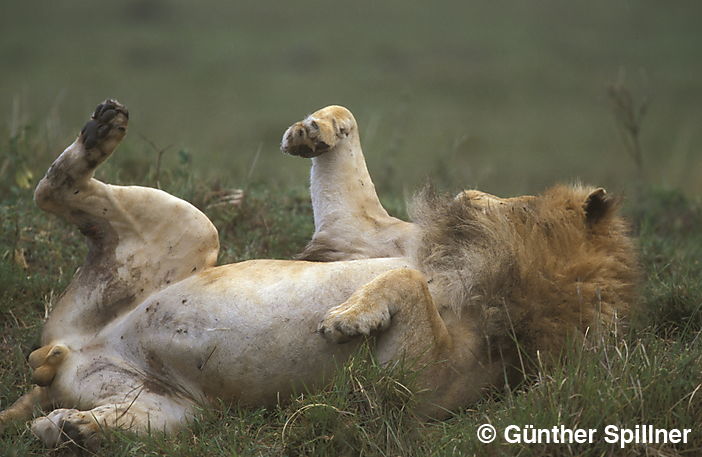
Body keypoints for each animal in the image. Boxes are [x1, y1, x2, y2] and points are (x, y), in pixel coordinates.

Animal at [0, 101, 640, 448]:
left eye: (522, 202)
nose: (469, 193)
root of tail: (66, 350)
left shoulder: (413, 391)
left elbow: (410, 289)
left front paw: (346, 321)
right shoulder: (359, 239)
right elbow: (353, 173)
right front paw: (313, 131)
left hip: (177, 409)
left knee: (49, 191)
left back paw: (71, 431)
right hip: (192, 233)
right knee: (54, 188)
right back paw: (102, 127)